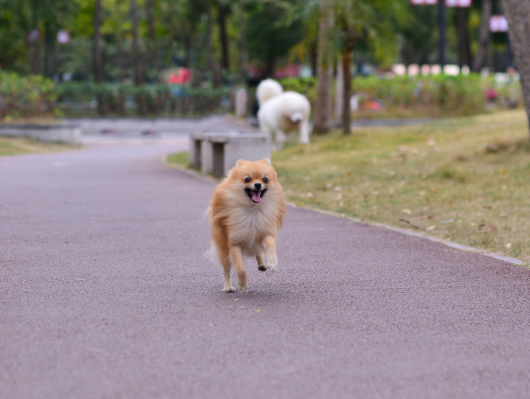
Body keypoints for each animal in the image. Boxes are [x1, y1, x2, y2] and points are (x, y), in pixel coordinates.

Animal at [208, 159, 286, 294]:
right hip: (223, 247)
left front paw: (272, 262)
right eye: (248, 179)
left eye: (265, 179)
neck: (253, 210)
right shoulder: (234, 243)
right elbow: (240, 268)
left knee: (258, 251)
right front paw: (243, 285)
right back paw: (228, 287)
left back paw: (262, 264)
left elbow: (270, 244)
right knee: (226, 269)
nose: (258, 185)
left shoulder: (265, 232)